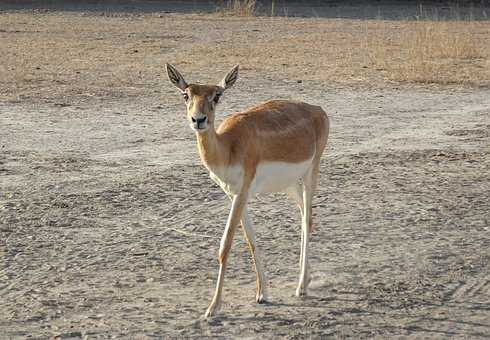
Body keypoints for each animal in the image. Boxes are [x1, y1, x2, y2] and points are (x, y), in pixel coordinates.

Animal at [165, 64, 330, 318]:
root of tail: (319, 110)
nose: (198, 120)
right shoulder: (234, 194)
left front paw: (213, 307)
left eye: (217, 96)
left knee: (307, 220)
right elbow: (251, 240)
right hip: (289, 184)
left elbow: (225, 245)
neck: (228, 147)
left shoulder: (241, 193)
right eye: (186, 95)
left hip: (312, 171)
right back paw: (307, 278)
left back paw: (301, 287)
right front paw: (262, 293)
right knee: (305, 216)